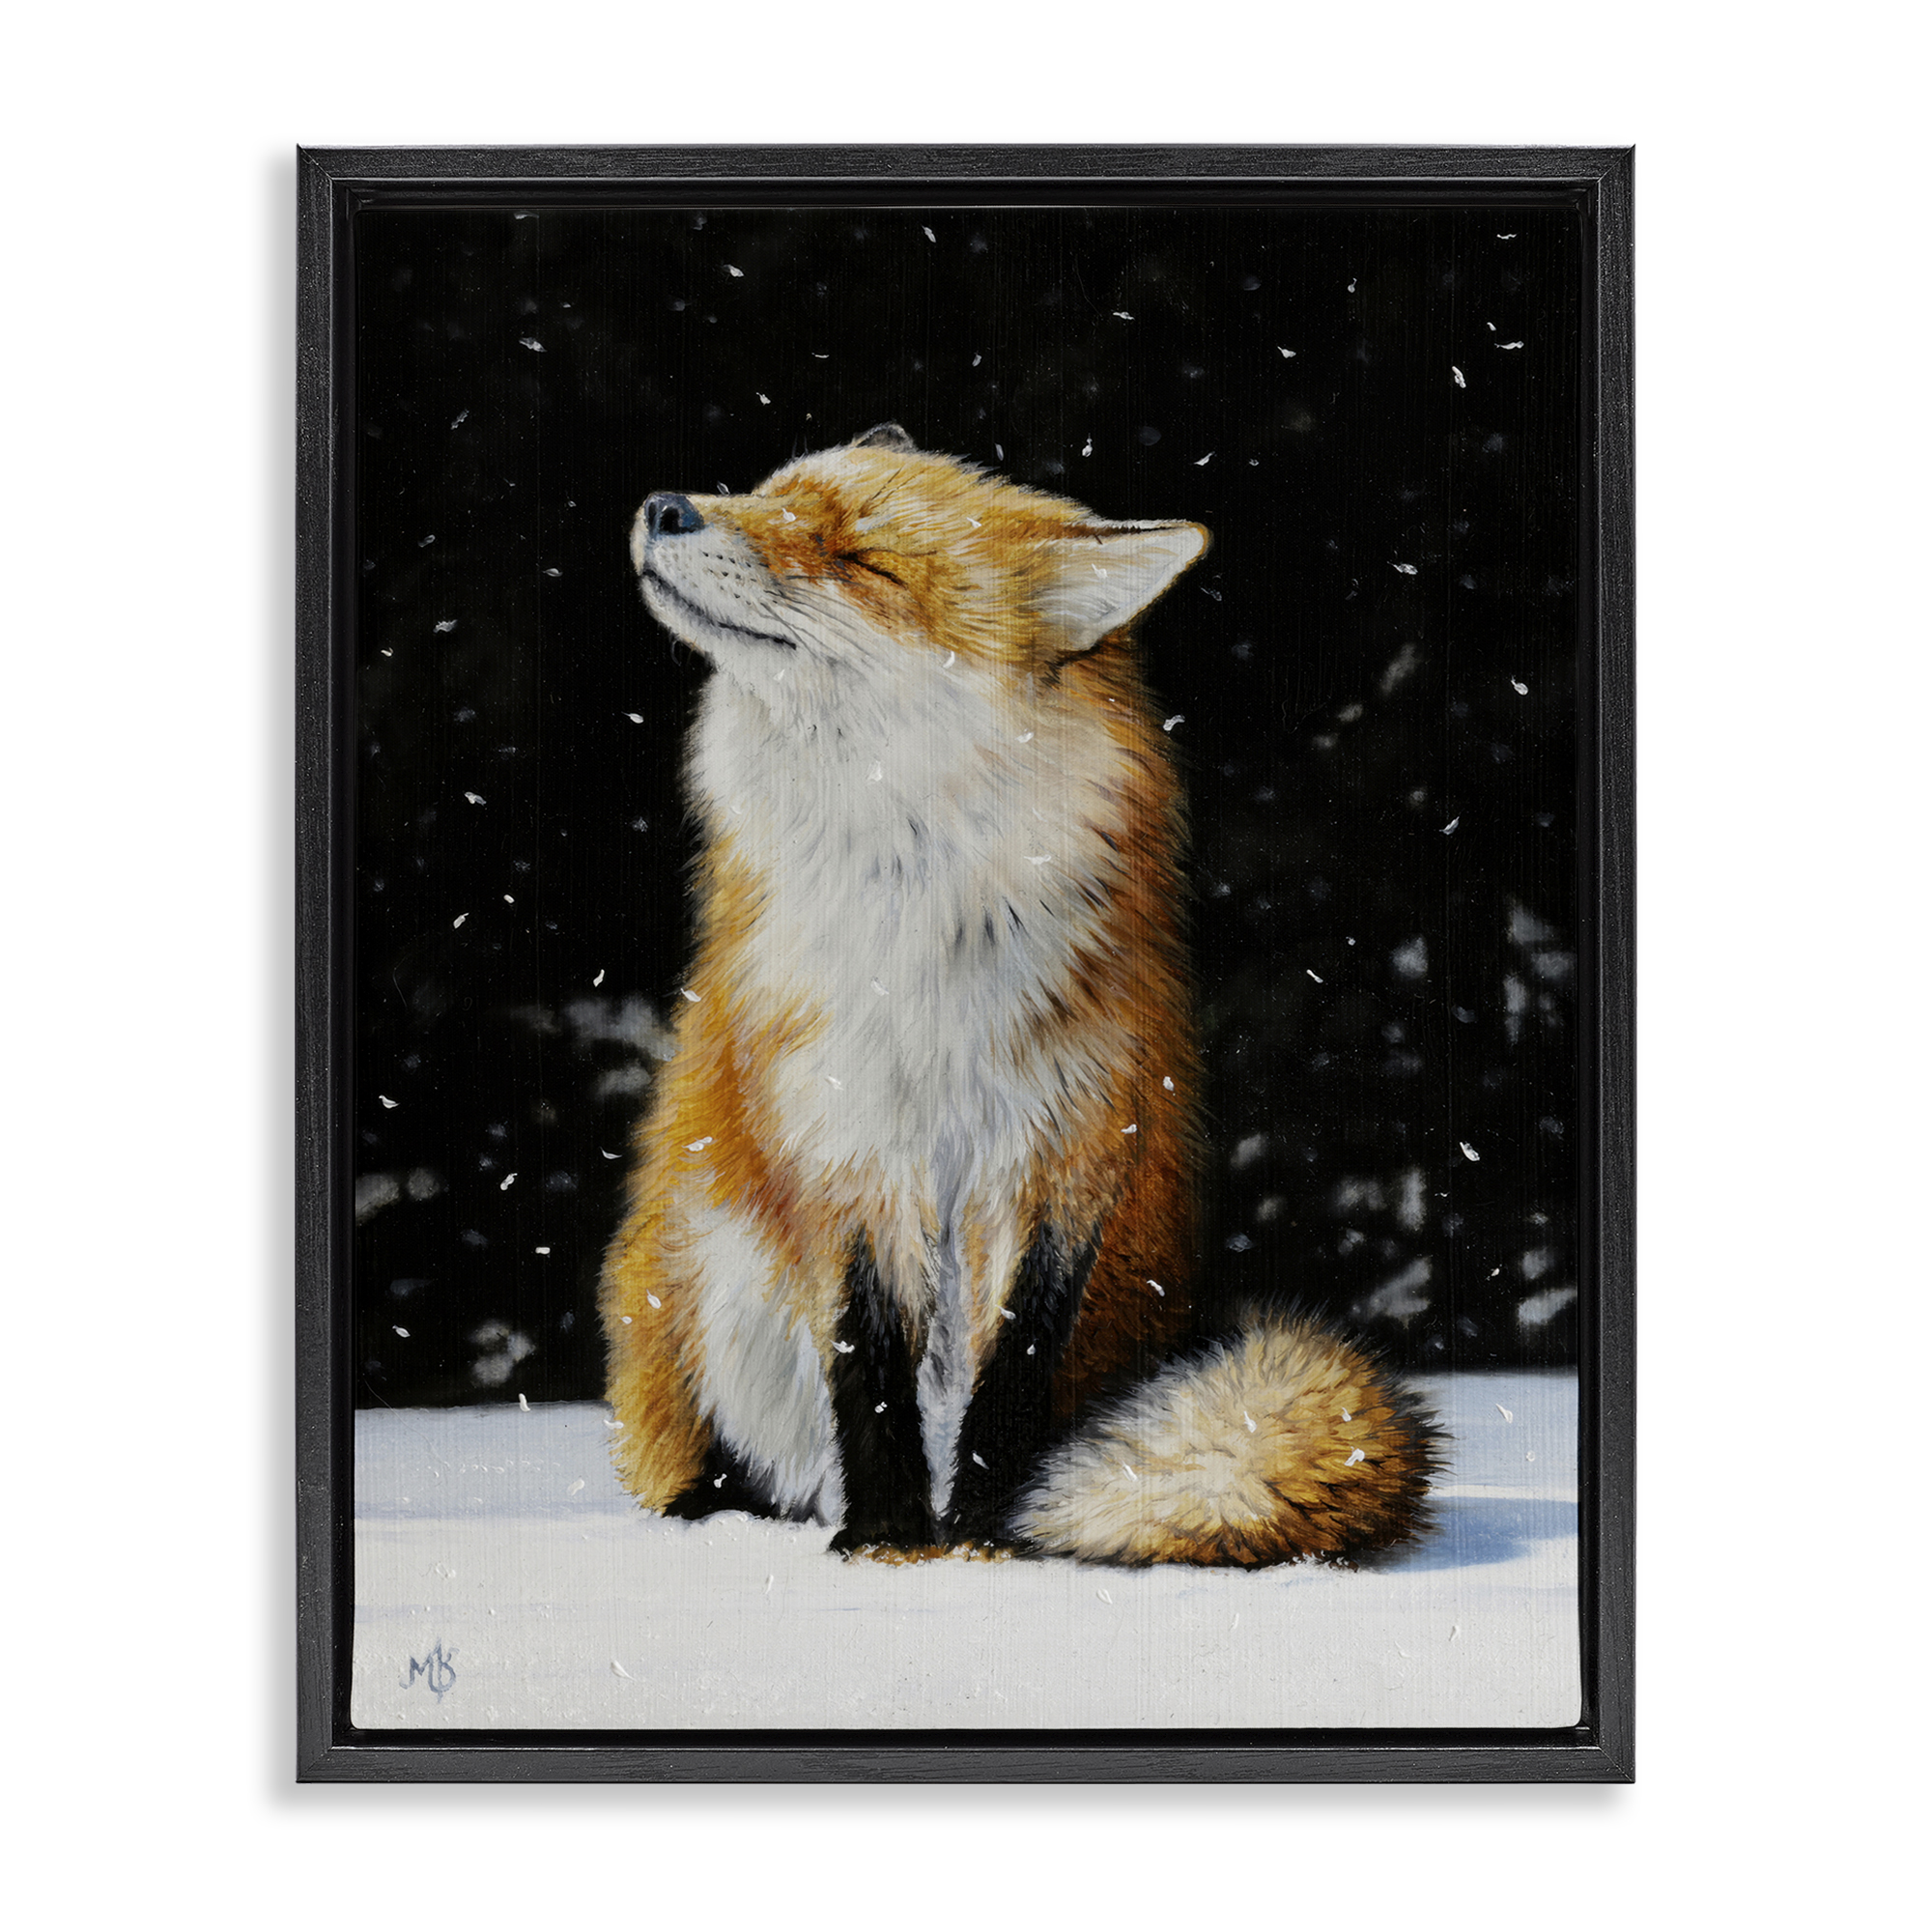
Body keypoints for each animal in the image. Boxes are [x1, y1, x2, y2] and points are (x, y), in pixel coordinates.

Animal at [600, 422, 1438, 1565]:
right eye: (770, 493)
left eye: (864, 561)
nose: (665, 506)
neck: (922, 947)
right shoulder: (844, 1152)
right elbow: (867, 1369)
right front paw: (888, 1538)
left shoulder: (1070, 1148)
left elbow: (1015, 1371)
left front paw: (985, 1534)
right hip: (703, 1279)